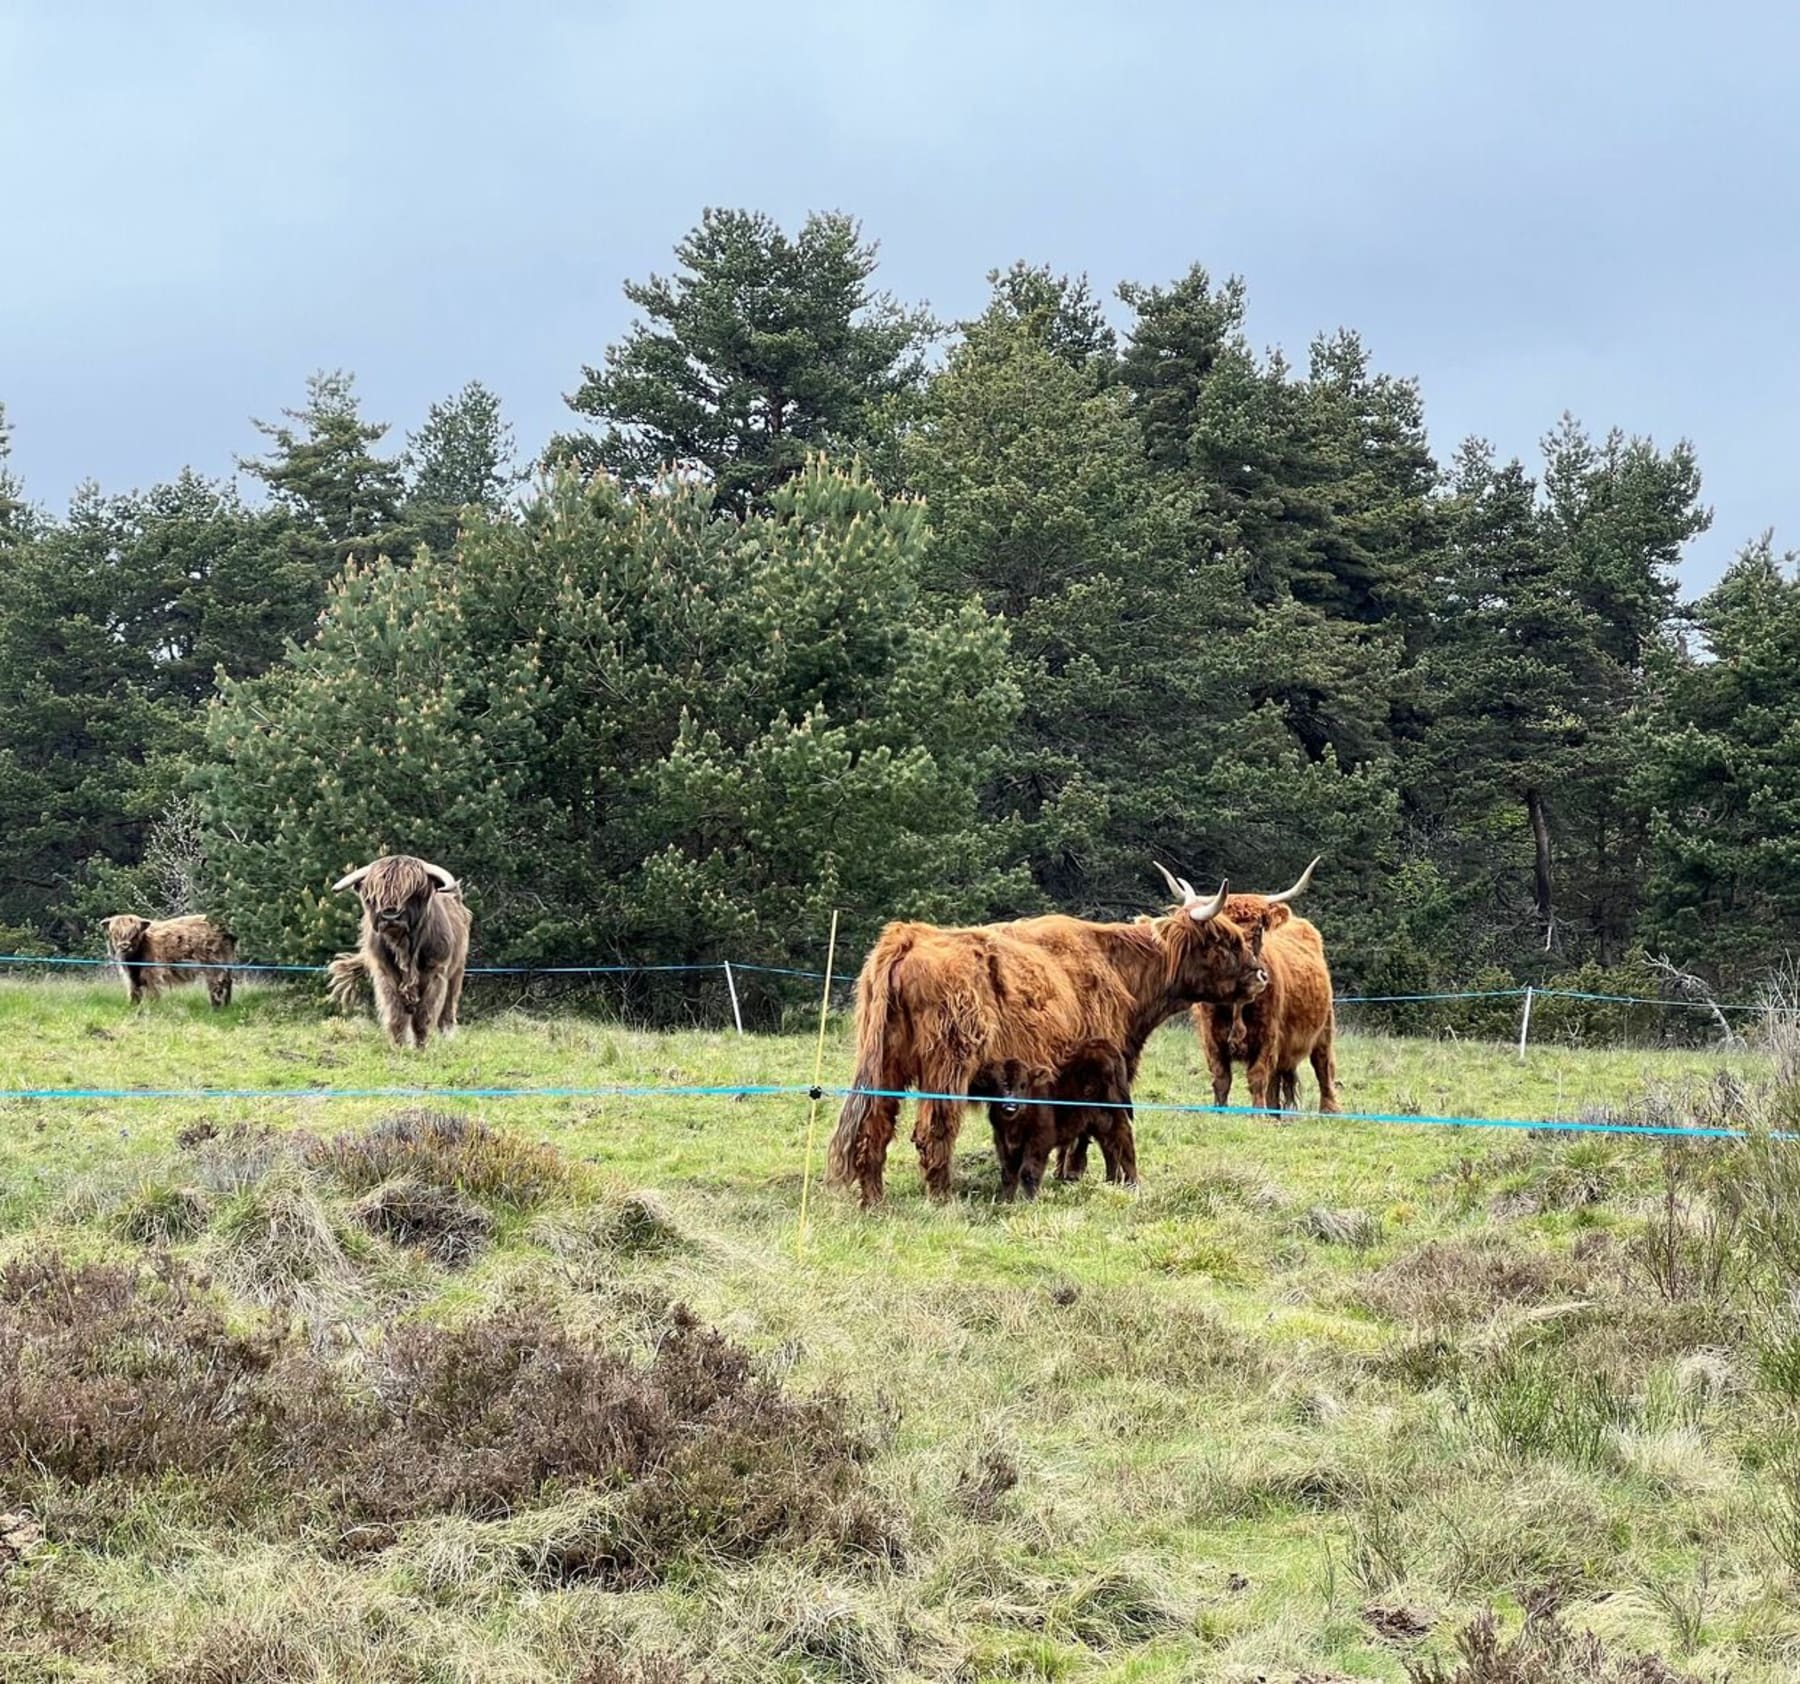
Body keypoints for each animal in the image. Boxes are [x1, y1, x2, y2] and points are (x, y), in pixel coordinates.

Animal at [327, 859, 471, 1043]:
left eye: (413, 893)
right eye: (373, 897)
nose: (390, 916)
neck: (403, 948)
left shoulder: (436, 972)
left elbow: (423, 1017)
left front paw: (421, 1046)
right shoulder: (386, 974)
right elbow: (396, 1016)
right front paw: (399, 1045)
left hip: (457, 971)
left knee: (447, 1012)